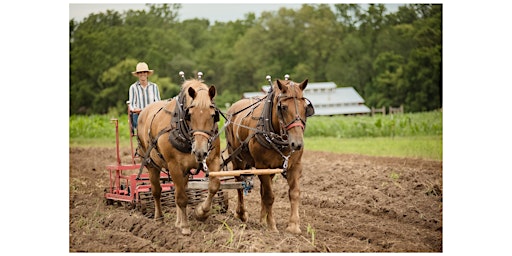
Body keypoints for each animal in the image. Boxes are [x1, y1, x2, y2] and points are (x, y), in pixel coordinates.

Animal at [136, 79, 222, 235]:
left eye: (213, 115)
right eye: (190, 115)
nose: (200, 152)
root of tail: (144, 111)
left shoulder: (213, 160)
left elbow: (213, 187)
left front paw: (201, 213)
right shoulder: (174, 165)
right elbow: (181, 198)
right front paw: (186, 227)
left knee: (178, 189)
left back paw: (178, 222)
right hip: (151, 164)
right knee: (157, 191)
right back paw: (159, 218)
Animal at [225, 78, 314, 234]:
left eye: (305, 107)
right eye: (283, 107)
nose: (297, 144)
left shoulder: (295, 166)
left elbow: (294, 193)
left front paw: (293, 226)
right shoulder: (262, 166)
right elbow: (269, 196)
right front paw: (272, 226)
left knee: (260, 190)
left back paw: (261, 220)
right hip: (237, 159)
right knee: (239, 184)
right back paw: (241, 214)